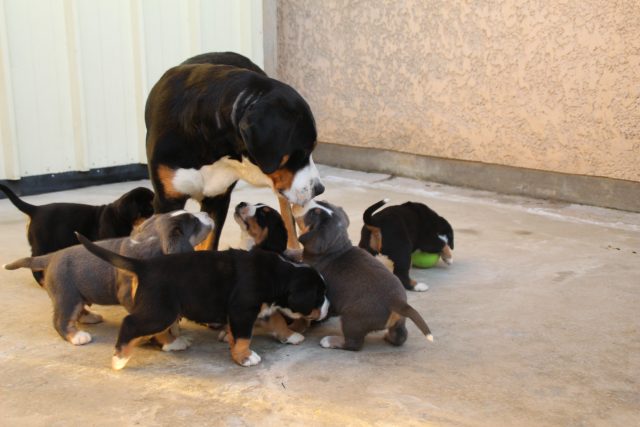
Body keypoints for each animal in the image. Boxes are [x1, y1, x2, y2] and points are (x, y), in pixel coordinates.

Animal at [3, 211, 212, 348]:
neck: (150, 242)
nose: (206, 213)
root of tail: (51, 256)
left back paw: (89, 316)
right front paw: (172, 343)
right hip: (67, 295)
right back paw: (77, 336)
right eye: (195, 221)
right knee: (61, 320)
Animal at [75, 232, 330, 370]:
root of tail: (144, 266)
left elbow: (276, 321)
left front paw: (291, 336)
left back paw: (173, 344)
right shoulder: (243, 310)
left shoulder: (261, 308)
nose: (328, 307)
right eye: (319, 296)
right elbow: (244, 337)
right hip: (160, 311)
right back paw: (119, 359)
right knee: (130, 324)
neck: (278, 275)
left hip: (163, 310)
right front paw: (245, 357)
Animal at [296, 201, 436, 352]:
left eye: (314, 213)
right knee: (400, 335)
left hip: (352, 320)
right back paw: (389, 337)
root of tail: (397, 301)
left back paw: (330, 341)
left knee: (353, 344)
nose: (309, 201)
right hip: (399, 320)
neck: (334, 249)